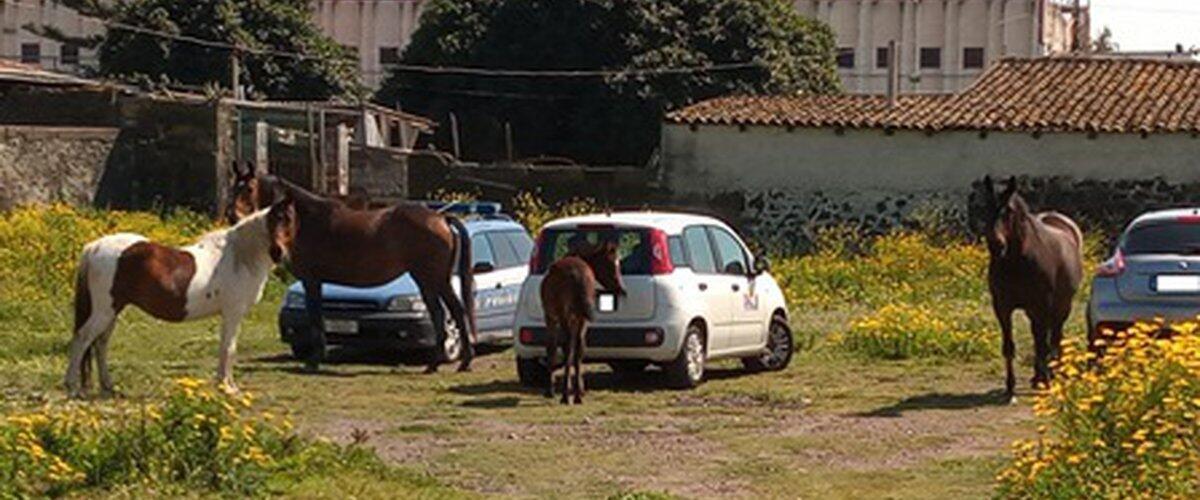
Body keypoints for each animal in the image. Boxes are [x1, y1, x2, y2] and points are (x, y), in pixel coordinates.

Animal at [65, 206, 283, 398]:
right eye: (279, 219)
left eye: (287, 219)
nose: (279, 252)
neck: (238, 257)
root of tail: (94, 247)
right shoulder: (233, 313)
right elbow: (229, 349)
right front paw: (228, 388)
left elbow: (225, 348)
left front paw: (225, 385)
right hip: (104, 311)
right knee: (82, 339)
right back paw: (73, 387)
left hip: (112, 311)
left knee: (100, 343)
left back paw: (108, 386)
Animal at [230, 172, 477, 373]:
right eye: (233, 187)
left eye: (249, 188)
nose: (233, 217)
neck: (307, 223)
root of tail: (440, 218)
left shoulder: (312, 281)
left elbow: (316, 317)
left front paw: (314, 360)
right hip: (430, 281)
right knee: (446, 312)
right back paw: (446, 363)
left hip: (433, 279)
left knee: (451, 311)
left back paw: (454, 362)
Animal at [539, 240, 625, 404]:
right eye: (610, 264)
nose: (621, 289)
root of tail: (577, 274)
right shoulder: (577, 319)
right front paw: (579, 389)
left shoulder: (551, 318)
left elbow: (552, 348)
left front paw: (550, 391)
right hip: (581, 319)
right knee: (578, 348)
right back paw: (577, 395)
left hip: (563, 316)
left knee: (568, 348)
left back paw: (565, 396)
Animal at [981, 176, 1084, 401]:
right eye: (985, 208)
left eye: (1009, 211)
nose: (996, 245)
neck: (1017, 262)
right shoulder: (1002, 307)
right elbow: (1009, 346)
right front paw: (1010, 388)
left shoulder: (1042, 305)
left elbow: (1043, 343)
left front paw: (1046, 380)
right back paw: (1039, 376)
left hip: (1061, 306)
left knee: (1054, 338)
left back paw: (1053, 374)